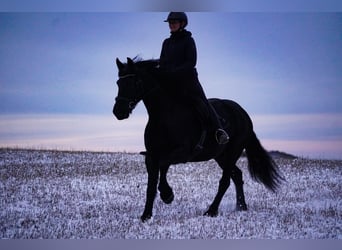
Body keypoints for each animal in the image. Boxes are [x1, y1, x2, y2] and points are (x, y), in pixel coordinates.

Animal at [113, 57, 284, 222]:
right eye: (118, 83)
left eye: (134, 82)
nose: (118, 112)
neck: (164, 117)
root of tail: (244, 114)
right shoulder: (151, 156)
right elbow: (151, 186)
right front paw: (146, 216)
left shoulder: (181, 153)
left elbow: (163, 166)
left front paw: (168, 195)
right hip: (220, 156)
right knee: (237, 175)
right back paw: (241, 206)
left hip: (233, 152)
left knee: (225, 181)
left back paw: (212, 211)